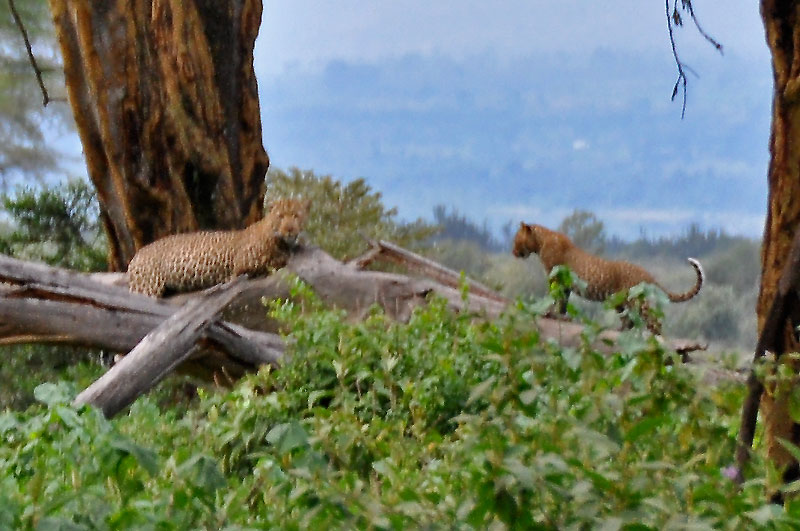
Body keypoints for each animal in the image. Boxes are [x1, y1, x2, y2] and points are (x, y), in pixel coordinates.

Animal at [128, 198, 310, 297]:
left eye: (296, 216)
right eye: (281, 217)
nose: (289, 229)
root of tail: (137, 254)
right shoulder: (244, 264)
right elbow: (274, 260)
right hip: (147, 286)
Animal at [512, 221, 703, 331]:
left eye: (515, 239)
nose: (513, 252)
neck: (541, 241)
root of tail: (648, 275)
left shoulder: (555, 278)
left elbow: (553, 296)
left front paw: (547, 312)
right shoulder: (565, 283)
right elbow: (562, 302)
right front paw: (559, 316)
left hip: (637, 301)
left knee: (653, 321)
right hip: (621, 302)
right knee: (629, 320)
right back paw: (620, 331)